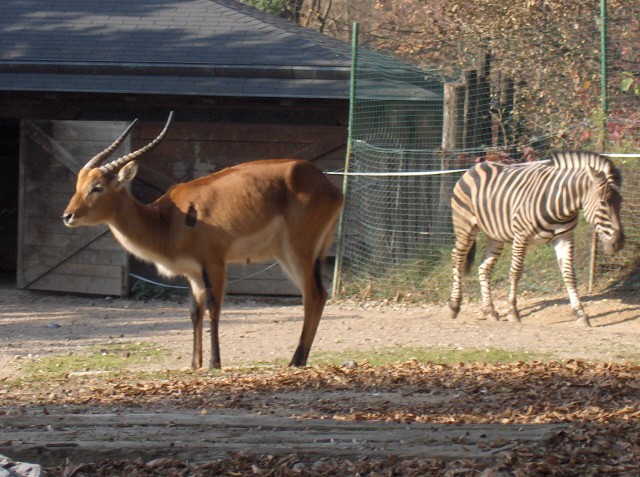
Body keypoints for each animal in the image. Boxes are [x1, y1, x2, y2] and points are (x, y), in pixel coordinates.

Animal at [63, 112, 344, 368]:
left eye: (97, 187)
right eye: (78, 184)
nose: (67, 216)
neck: (168, 220)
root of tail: (329, 186)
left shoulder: (215, 264)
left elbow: (213, 308)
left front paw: (214, 363)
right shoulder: (193, 272)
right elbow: (194, 311)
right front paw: (194, 363)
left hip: (298, 251)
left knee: (312, 295)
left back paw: (296, 360)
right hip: (292, 254)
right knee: (318, 295)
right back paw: (299, 359)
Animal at [448, 152, 624, 328]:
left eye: (620, 202)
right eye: (603, 203)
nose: (618, 243)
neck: (559, 203)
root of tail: (475, 167)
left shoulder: (564, 237)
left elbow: (569, 274)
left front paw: (580, 313)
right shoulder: (521, 236)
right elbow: (516, 272)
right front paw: (513, 312)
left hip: (495, 235)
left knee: (484, 267)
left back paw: (490, 311)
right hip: (465, 226)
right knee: (457, 258)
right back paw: (454, 305)